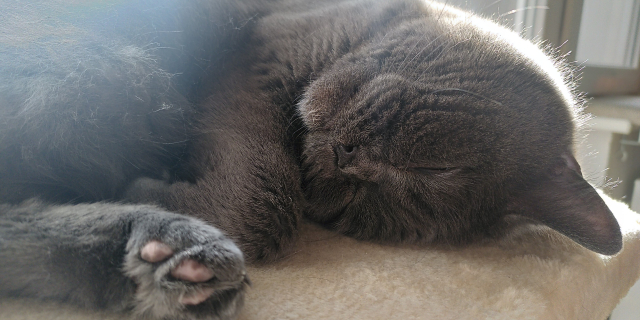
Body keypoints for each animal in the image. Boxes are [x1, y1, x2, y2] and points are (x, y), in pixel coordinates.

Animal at [0, 0, 624, 320]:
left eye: (351, 207)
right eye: (437, 168)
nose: (348, 160)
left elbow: (272, 205)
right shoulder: (266, 49)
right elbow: (265, 193)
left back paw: (167, 259)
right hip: (109, 68)